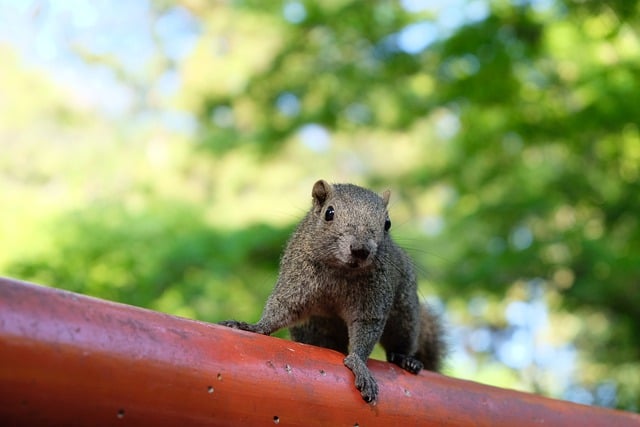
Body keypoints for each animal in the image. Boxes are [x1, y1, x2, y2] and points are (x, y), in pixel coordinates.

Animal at [219, 179, 445, 404]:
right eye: (329, 213)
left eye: (387, 224)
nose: (360, 249)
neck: (341, 270)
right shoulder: (298, 278)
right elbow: (282, 308)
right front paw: (253, 326)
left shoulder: (375, 295)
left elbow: (366, 327)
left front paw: (358, 364)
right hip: (313, 328)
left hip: (404, 314)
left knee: (401, 342)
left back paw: (406, 359)